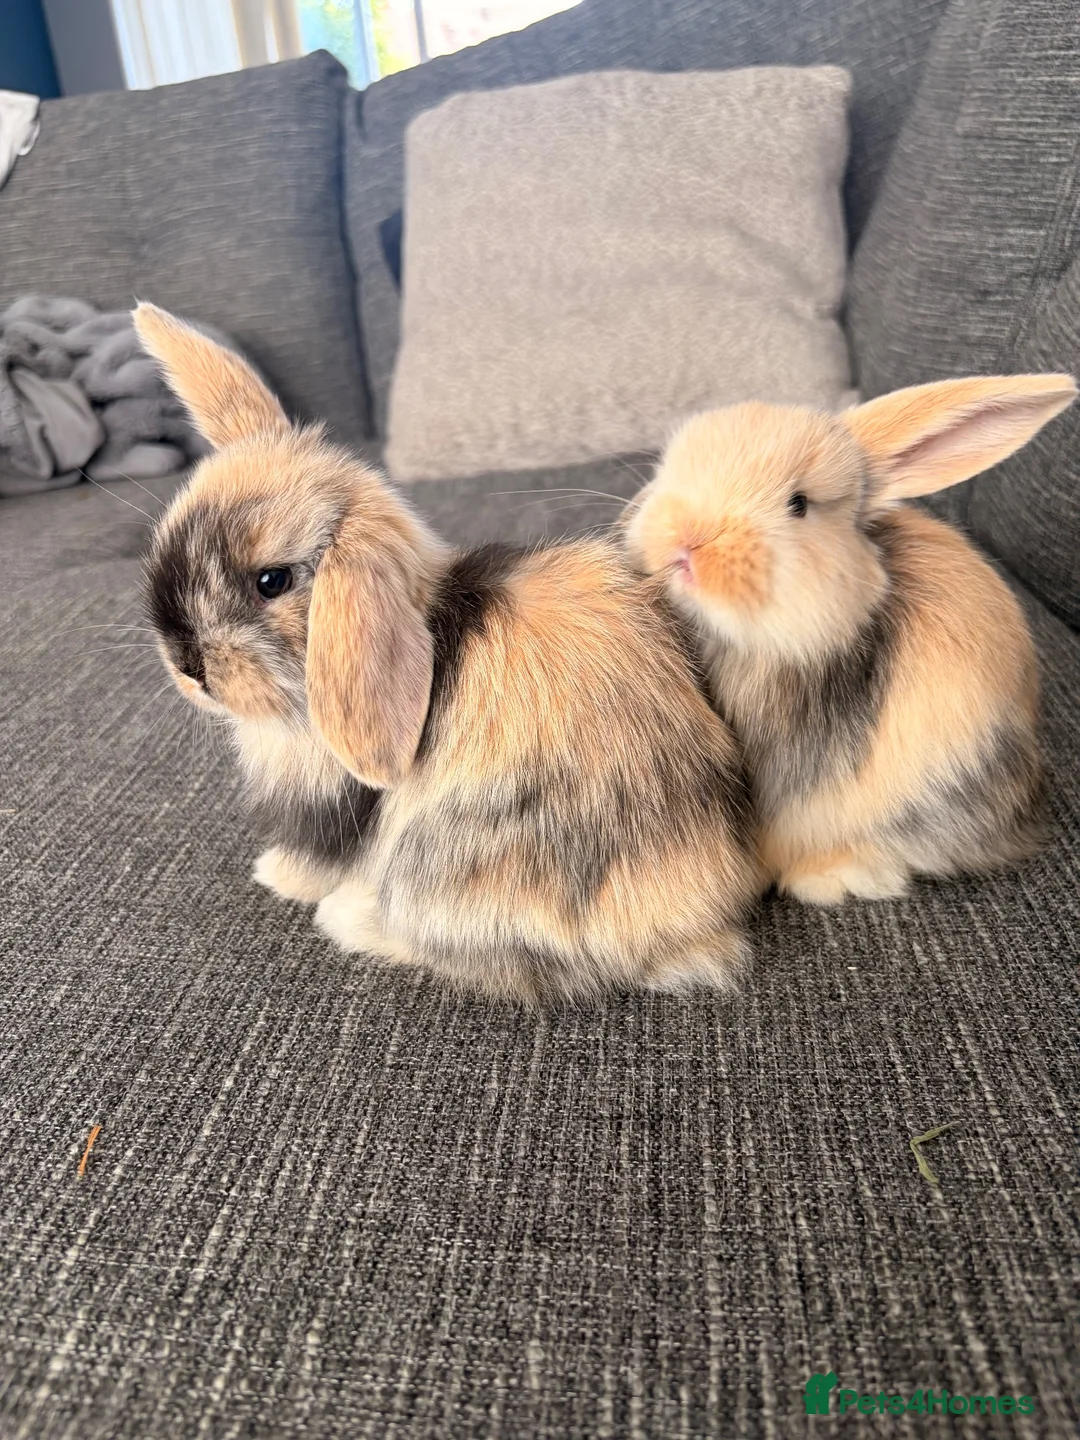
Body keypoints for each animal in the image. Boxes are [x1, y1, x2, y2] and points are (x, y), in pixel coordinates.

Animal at [133, 302, 760, 1003]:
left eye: (272, 580)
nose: (186, 667)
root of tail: (688, 927)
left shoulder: (339, 815)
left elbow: (319, 861)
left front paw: (275, 876)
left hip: (440, 872)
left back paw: (346, 921)